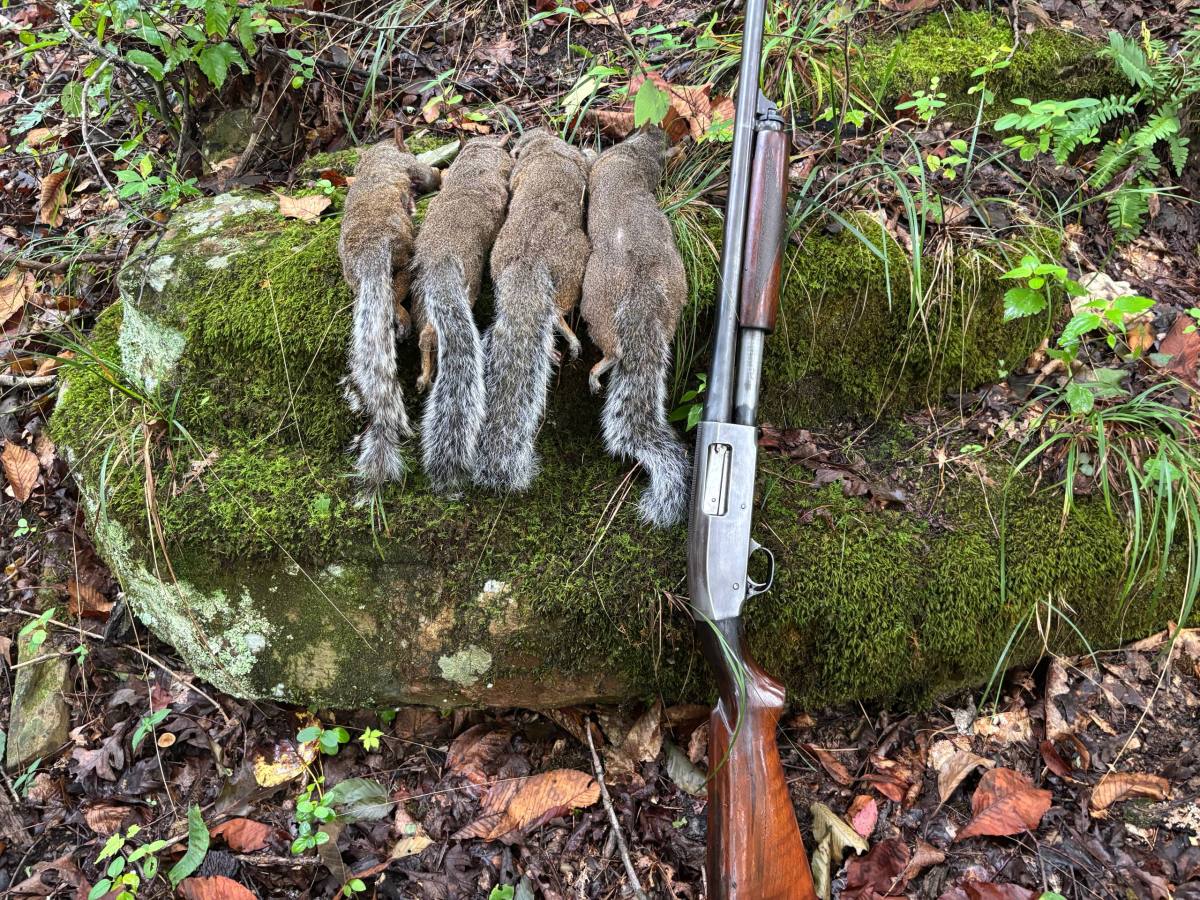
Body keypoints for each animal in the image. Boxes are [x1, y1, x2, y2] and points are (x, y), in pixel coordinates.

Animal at [339, 137, 440, 487]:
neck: (378, 155)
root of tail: (370, 254)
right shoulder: (410, 166)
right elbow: (426, 174)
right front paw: (440, 174)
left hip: (354, 278)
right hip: (403, 252)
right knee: (399, 290)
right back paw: (403, 318)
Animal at [411, 135, 514, 492]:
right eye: (505, 154)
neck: (474, 167)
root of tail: (439, 262)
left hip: (419, 301)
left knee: (424, 336)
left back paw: (425, 374)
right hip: (467, 288)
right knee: (431, 334)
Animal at [473, 128, 591, 492]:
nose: (516, 142)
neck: (543, 149)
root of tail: (529, 261)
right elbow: (584, 161)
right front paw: (590, 150)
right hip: (573, 271)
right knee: (556, 312)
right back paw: (567, 339)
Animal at [580, 127, 690, 527]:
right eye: (651, 130)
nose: (656, 130)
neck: (638, 156)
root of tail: (642, 291)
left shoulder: (607, 162)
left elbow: (592, 162)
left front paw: (586, 149)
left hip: (594, 303)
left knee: (612, 348)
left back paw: (599, 370)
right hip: (672, 307)